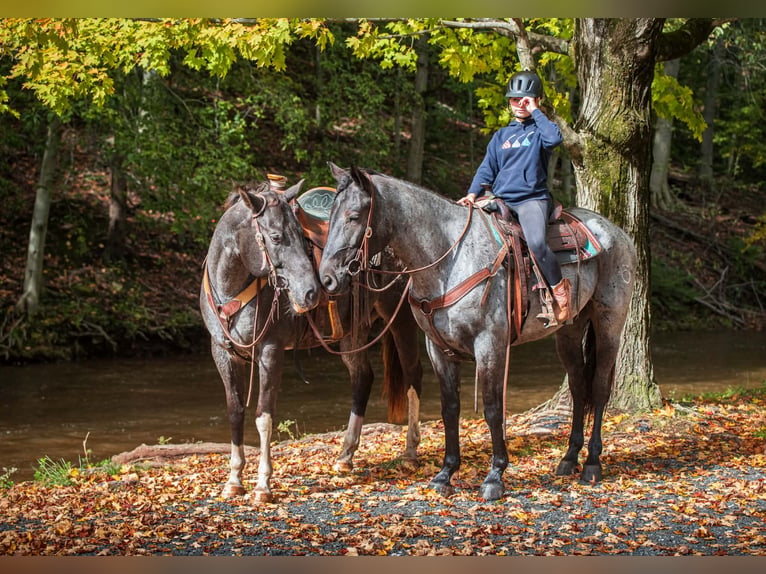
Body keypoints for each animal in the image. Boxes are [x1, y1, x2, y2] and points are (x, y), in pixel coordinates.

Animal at [200, 179, 423, 502]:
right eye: (276, 236)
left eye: (300, 234)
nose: (311, 291)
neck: (232, 288)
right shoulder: (223, 354)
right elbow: (235, 411)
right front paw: (234, 480)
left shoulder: (271, 352)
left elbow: (264, 416)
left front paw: (262, 485)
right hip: (351, 334)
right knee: (362, 378)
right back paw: (345, 456)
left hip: (401, 319)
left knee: (412, 376)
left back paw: (410, 452)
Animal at [318, 163, 637, 501]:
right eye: (331, 215)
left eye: (353, 216)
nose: (327, 279)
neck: (449, 258)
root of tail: (616, 233)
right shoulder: (438, 349)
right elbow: (450, 409)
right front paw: (445, 474)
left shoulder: (490, 344)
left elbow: (493, 408)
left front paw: (495, 476)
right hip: (570, 330)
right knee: (578, 386)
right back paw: (568, 459)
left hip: (608, 323)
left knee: (599, 387)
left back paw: (591, 463)